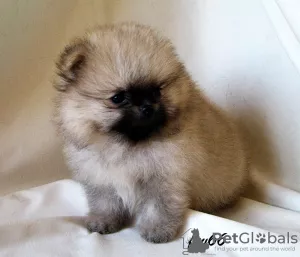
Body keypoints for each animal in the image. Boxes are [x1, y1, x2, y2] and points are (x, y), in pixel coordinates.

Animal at [52, 22, 248, 242]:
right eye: (118, 98)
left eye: (157, 91)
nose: (148, 107)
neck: (128, 145)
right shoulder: (101, 177)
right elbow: (105, 203)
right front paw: (103, 220)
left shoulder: (163, 177)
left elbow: (158, 207)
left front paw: (157, 230)